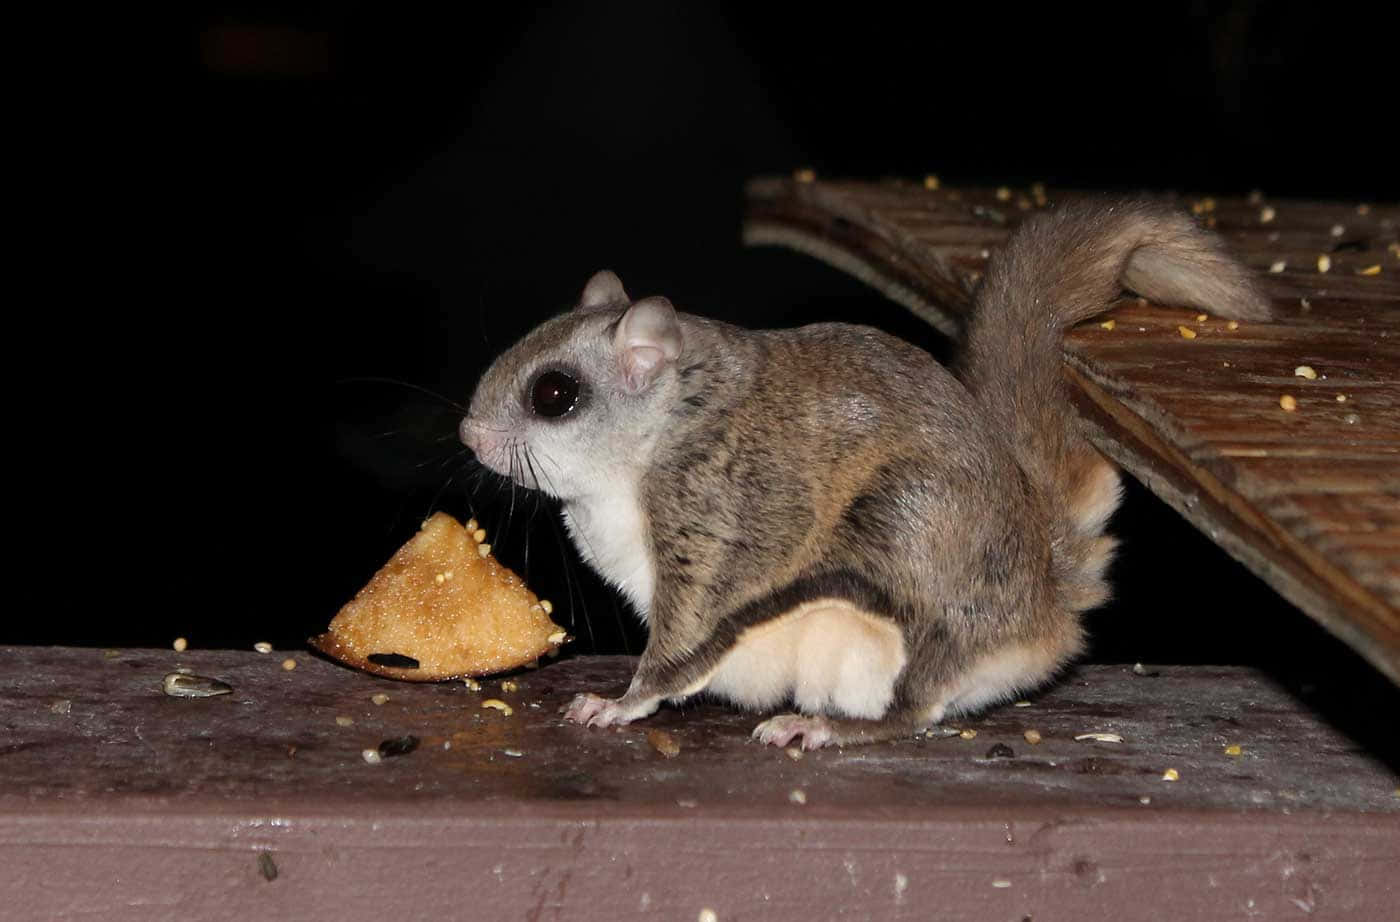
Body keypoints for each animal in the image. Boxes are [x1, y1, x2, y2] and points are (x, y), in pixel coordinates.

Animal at [459, 197, 1271, 749]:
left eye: (554, 394)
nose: (469, 434)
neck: (665, 430)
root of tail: (1046, 609)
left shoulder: (719, 514)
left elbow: (682, 646)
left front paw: (620, 702)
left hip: (906, 538)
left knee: (916, 708)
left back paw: (827, 729)